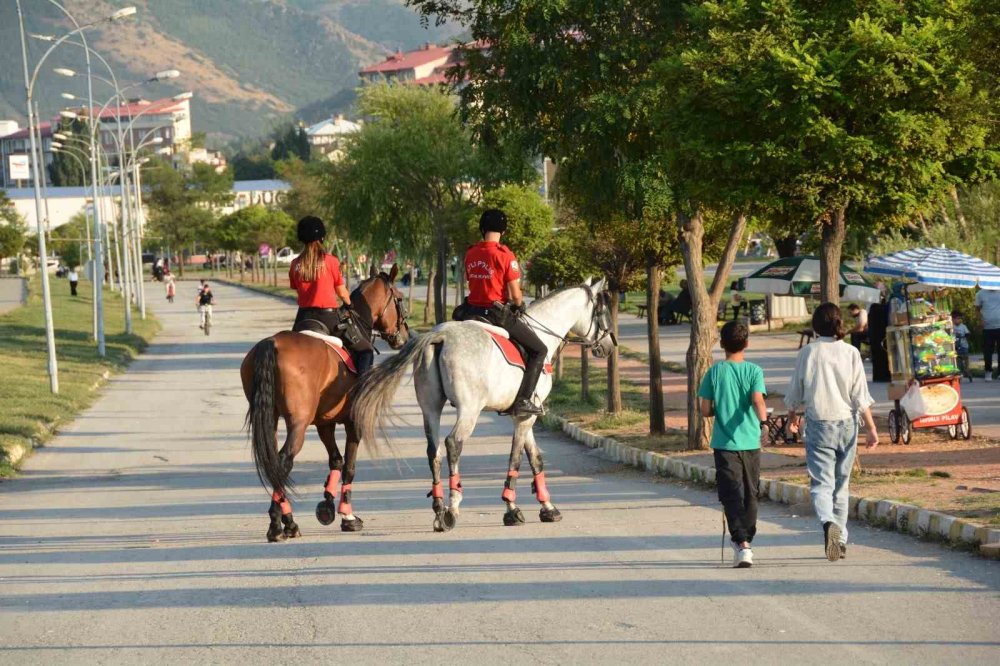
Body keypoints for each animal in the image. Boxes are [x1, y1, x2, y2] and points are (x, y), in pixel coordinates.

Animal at [240, 264, 408, 540]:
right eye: (400, 299)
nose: (402, 336)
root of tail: (271, 343)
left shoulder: (324, 424)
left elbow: (336, 460)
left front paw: (328, 504)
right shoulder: (352, 422)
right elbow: (349, 466)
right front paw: (347, 515)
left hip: (270, 418)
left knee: (274, 462)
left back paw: (286, 522)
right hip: (298, 422)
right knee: (284, 460)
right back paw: (280, 524)